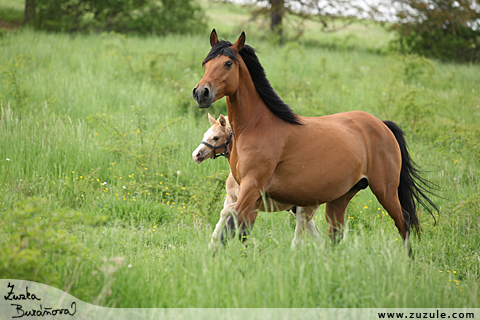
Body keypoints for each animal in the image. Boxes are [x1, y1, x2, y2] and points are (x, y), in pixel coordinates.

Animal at [192, 29, 438, 245]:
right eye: (206, 63)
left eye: (228, 63)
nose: (201, 92)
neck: (256, 126)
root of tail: (382, 125)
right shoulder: (251, 197)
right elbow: (240, 234)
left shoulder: (250, 189)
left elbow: (227, 233)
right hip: (341, 197)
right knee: (334, 236)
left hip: (385, 190)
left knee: (404, 222)